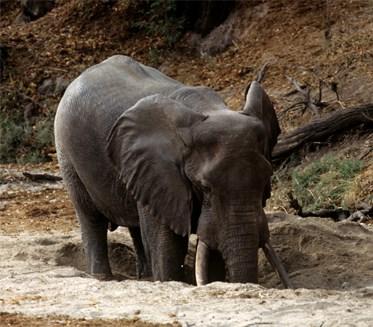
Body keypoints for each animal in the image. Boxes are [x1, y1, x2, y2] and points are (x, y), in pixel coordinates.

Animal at [53, 55, 290, 288]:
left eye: (266, 180)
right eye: (205, 187)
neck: (208, 109)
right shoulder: (161, 172)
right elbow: (168, 246)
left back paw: (145, 278)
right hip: (67, 153)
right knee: (91, 218)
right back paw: (103, 277)